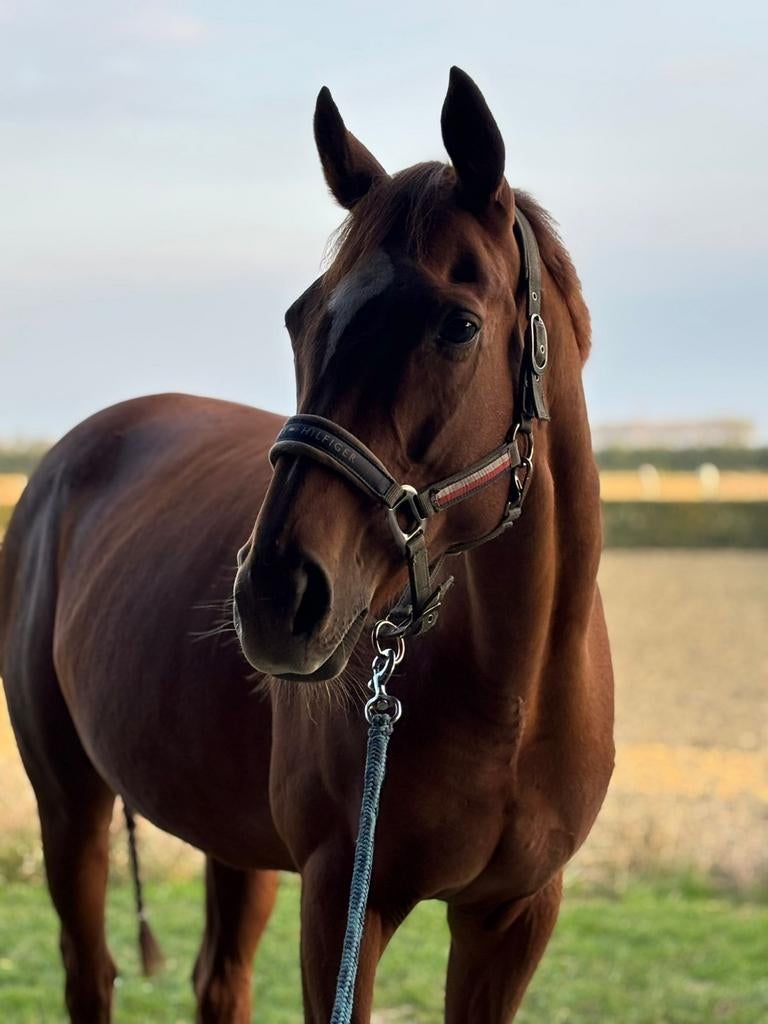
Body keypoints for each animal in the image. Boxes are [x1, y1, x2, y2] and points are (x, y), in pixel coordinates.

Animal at [0, 67, 614, 1022]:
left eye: (458, 325)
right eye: (300, 316)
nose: (276, 596)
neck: (514, 694)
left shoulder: (512, 917)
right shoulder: (343, 901)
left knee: (219, 980)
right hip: (69, 804)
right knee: (89, 970)